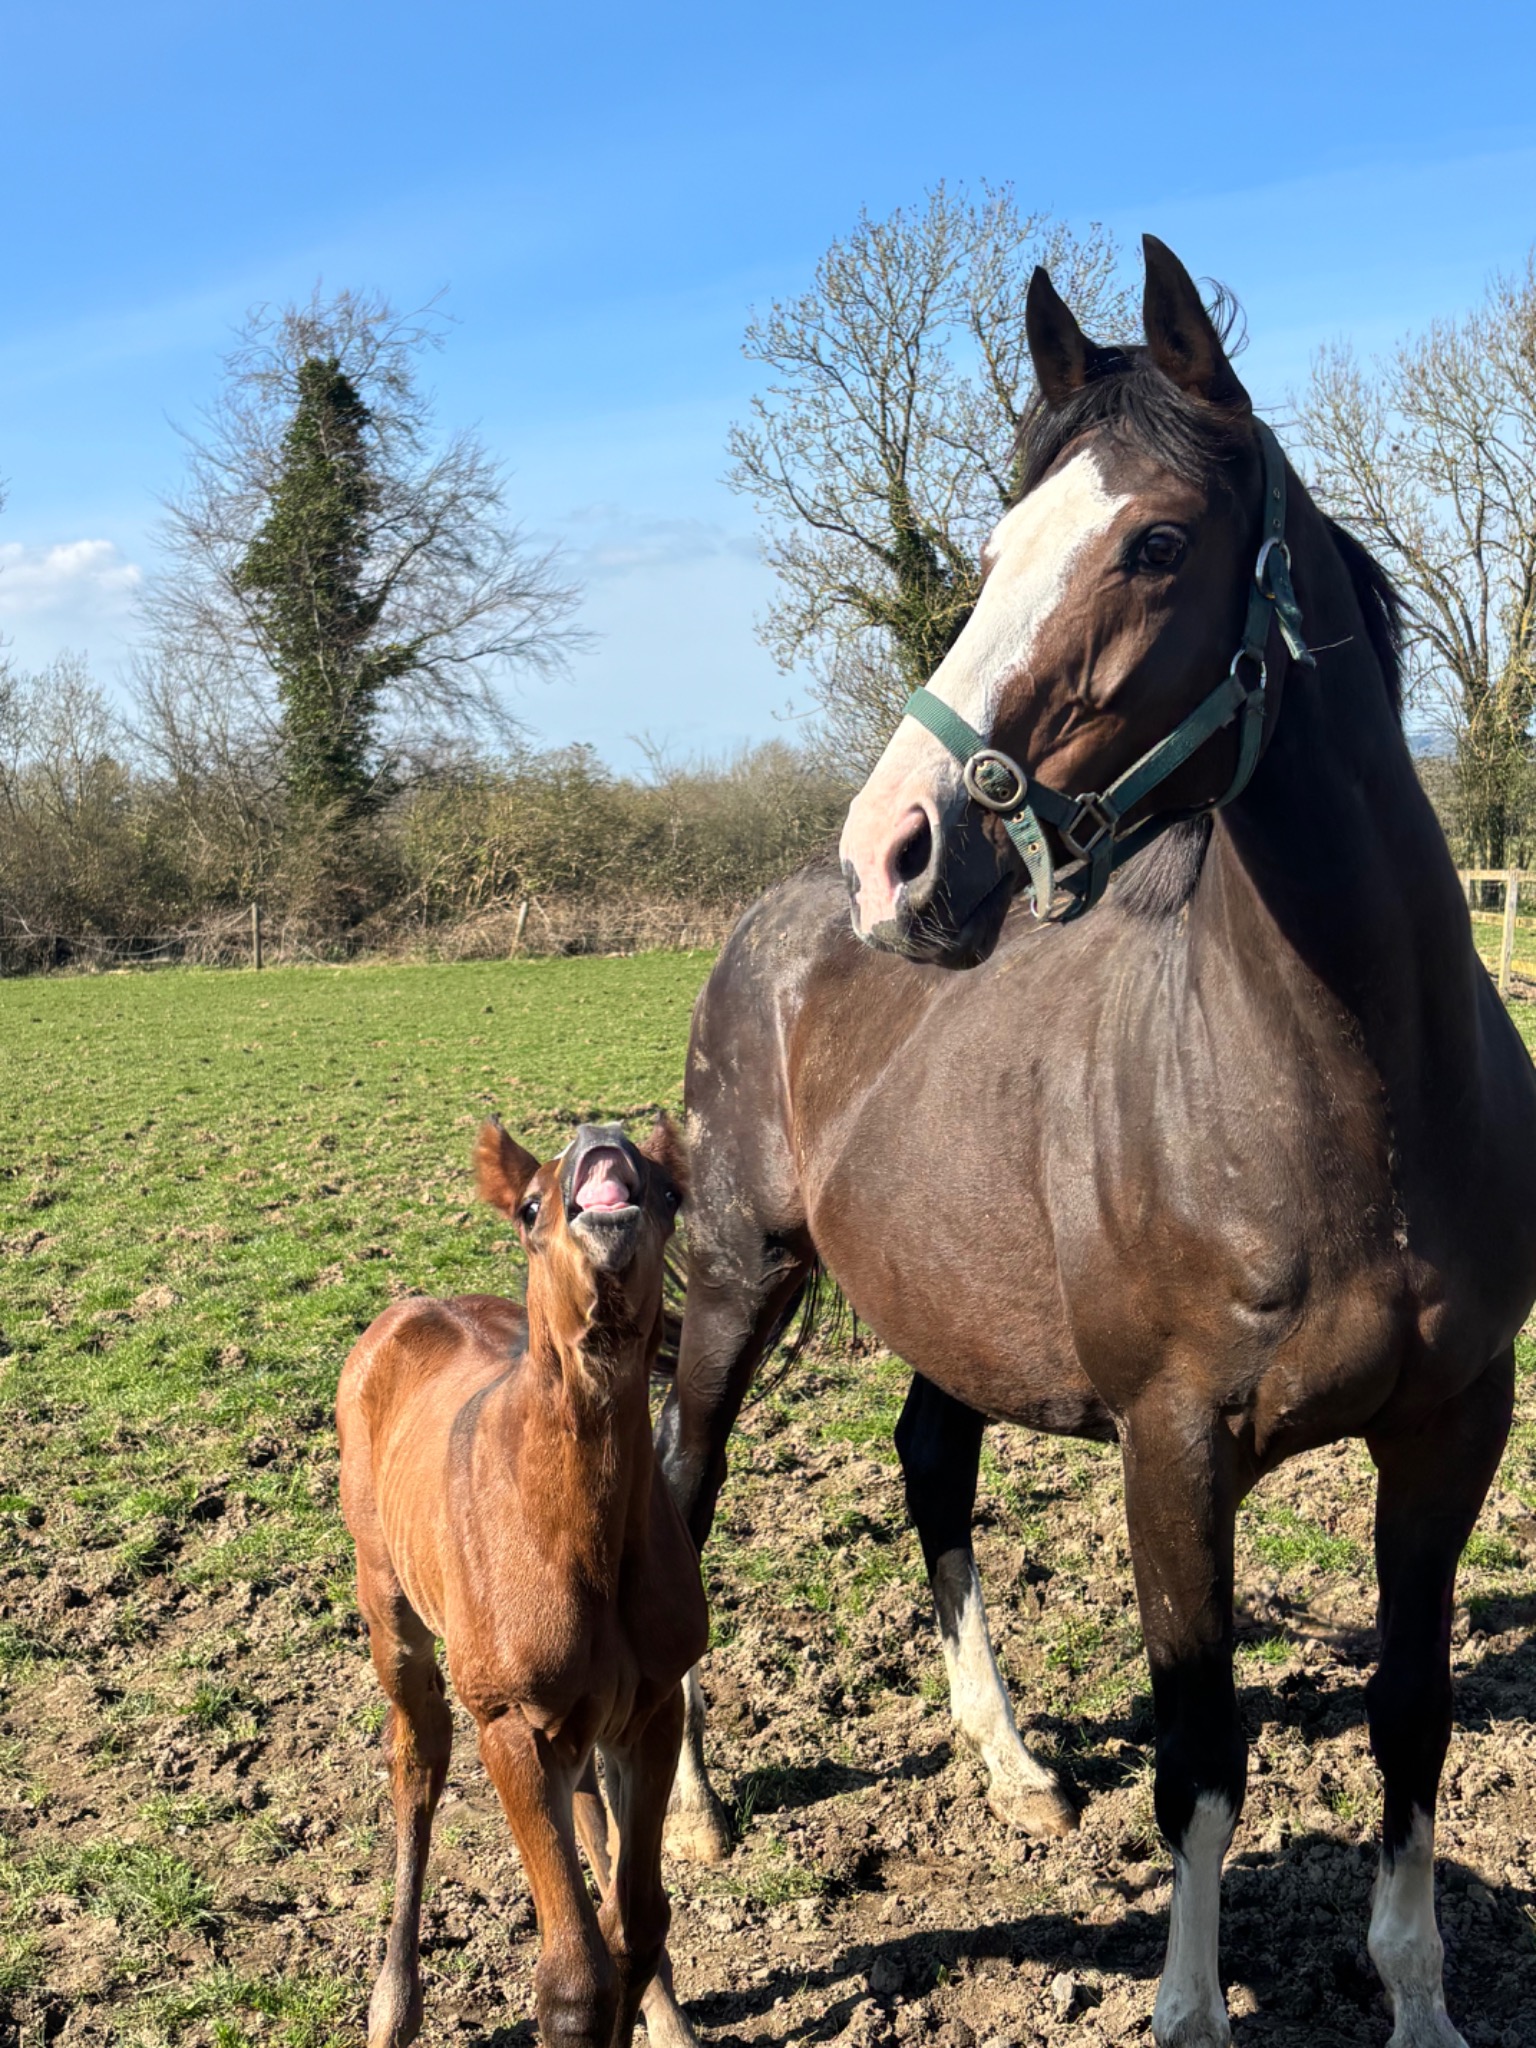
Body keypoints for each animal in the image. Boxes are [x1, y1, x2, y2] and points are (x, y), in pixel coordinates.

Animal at [338, 1115, 706, 2048]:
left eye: (670, 1191)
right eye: (530, 1206)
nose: (601, 1139)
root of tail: (406, 1310)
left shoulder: (651, 1708)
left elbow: (635, 1926)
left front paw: (653, 2005)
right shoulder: (510, 1726)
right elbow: (573, 1980)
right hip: (391, 1609)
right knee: (417, 1761)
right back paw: (393, 2006)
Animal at [654, 237, 1536, 2048]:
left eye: (1156, 542)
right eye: (992, 549)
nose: (900, 852)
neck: (1352, 1099)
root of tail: (777, 921)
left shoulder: (1450, 1432)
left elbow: (1412, 1719)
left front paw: (1419, 2000)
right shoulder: (1174, 1448)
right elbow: (1199, 1757)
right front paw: (1188, 2012)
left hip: (944, 1308)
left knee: (931, 1462)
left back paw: (1008, 1764)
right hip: (731, 1278)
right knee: (682, 1486)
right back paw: (697, 1806)